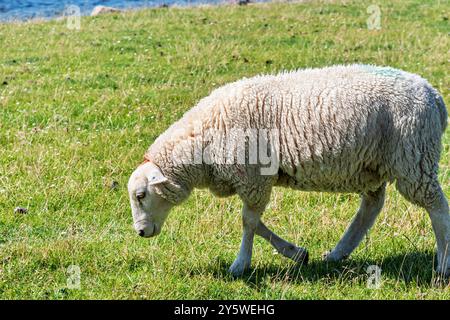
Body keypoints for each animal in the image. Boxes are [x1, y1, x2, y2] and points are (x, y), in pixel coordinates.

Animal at [128, 64, 448, 278]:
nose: (141, 232)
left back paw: (443, 265)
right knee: (371, 207)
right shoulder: (253, 181)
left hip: (414, 159)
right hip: (373, 164)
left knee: (438, 208)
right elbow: (255, 222)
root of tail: (433, 95)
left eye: (142, 195)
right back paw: (338, 253)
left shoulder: (254, 178)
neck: (203, 140)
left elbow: (248, 222)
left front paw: (240, 264)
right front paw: (298, 254)